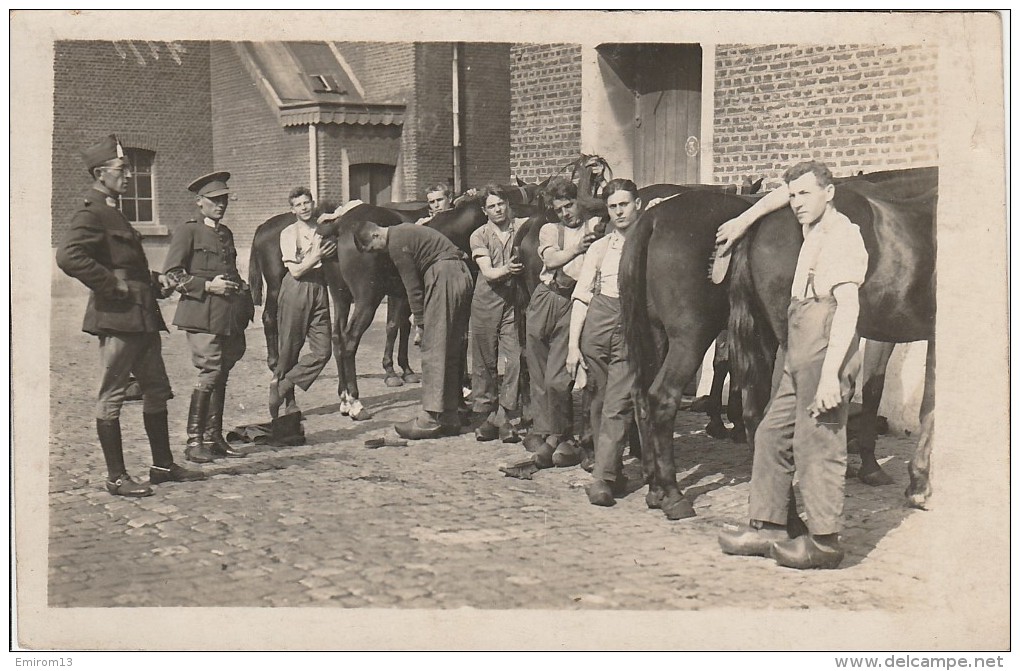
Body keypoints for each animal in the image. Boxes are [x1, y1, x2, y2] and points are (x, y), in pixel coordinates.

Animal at [616, 164, 934, 520]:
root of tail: (653, 217)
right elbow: (896, 396)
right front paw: (895, 475)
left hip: (658, 334)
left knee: (643, 395)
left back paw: (656, 486)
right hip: (692, 337)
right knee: (664, 397)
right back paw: (674, 493)